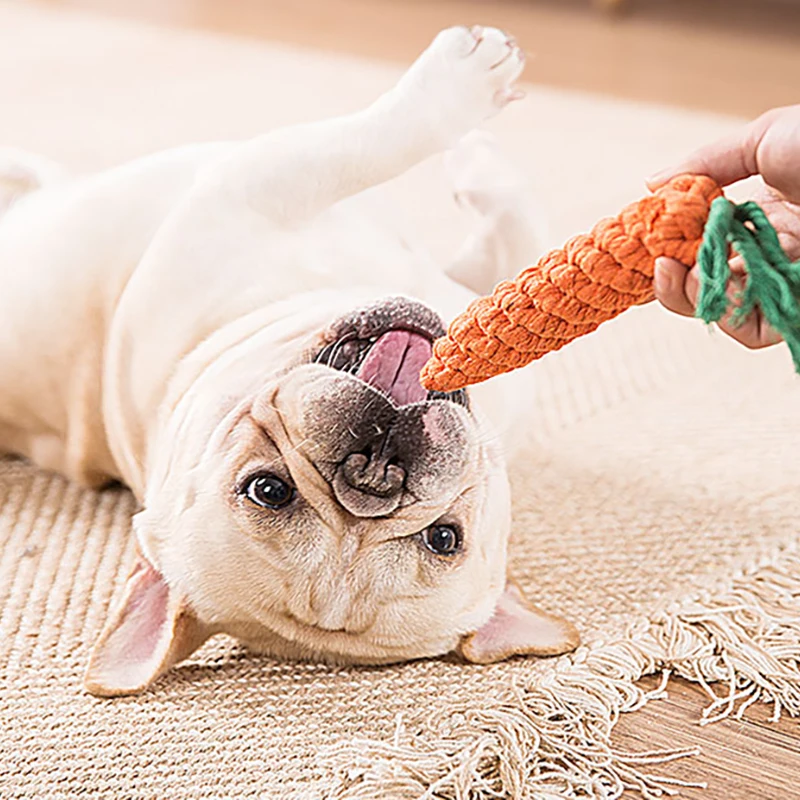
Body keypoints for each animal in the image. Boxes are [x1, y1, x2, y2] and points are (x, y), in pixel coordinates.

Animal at [0, 28, 576, 696]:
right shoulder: (251, 188)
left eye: (443, 539)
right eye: (268, 490)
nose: (375, 470)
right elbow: (362, 146)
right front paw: (467, 95)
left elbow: (522, 260)